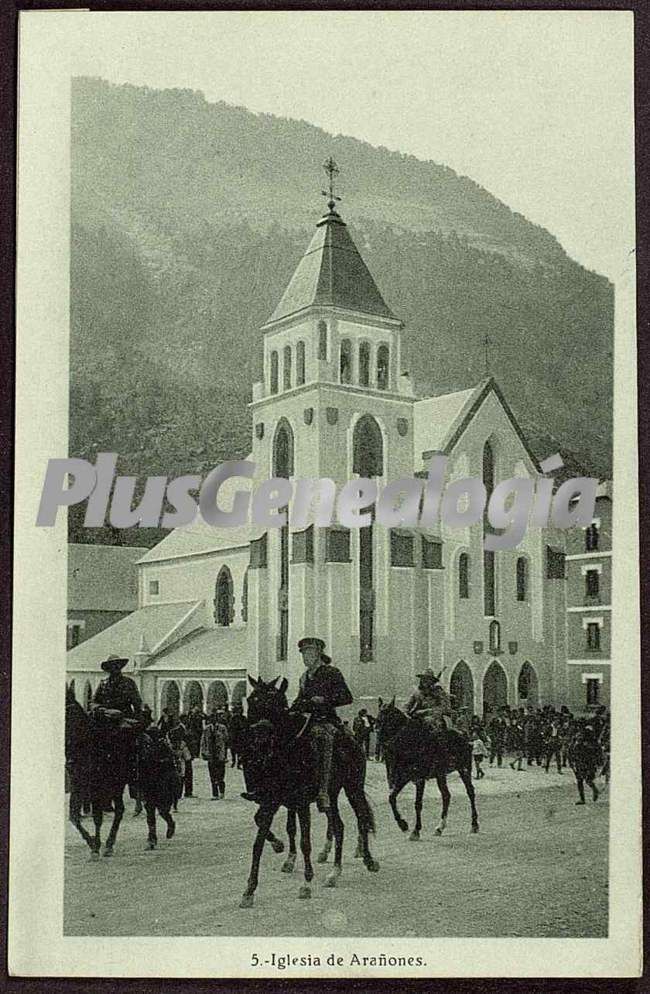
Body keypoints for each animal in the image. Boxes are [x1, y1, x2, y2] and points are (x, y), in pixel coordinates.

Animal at [238, 676, 378, 908]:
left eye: (275, 703)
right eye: (251, 700)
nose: (259, 737)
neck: (285, 751)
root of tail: (352, 739)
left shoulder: (301, 802)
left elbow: (305, 842)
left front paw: (306, 883)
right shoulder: (272, 801)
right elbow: (259, 841)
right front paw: (250, 889)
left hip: (353, 788)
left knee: (362, 818)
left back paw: (368, 859)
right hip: (331, 795)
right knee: (339, 826)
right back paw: (334, 872)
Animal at [374, 696, 476, 836]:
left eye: (389, 718)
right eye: (378, 718)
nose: (379, 741)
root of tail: (464, 736)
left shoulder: (419, 779)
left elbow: (418, 803)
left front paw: (415, 830)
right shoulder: (403, 778)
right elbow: (391, 797)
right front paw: (402, 824)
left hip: (464, 769)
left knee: (470, 791)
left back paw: (474, 824)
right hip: (440, 774)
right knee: (446, 796)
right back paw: (440, 827)